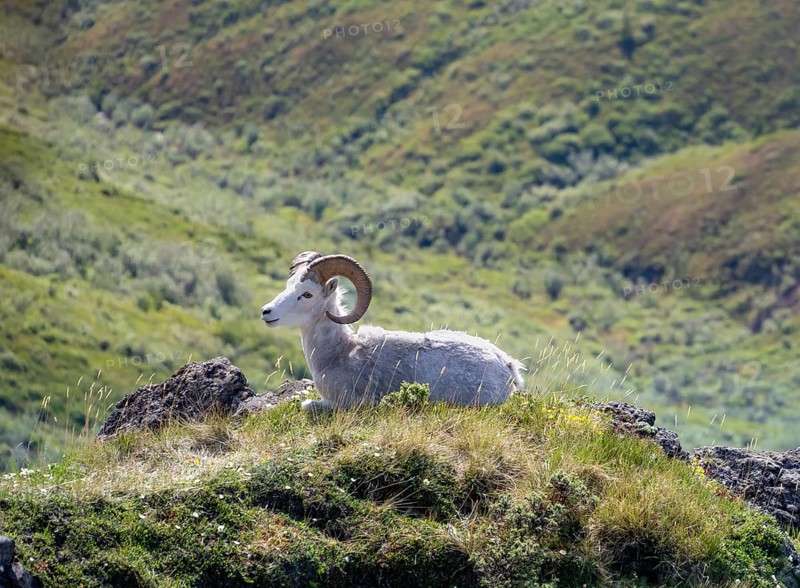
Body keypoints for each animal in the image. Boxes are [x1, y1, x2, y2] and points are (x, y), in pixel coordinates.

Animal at [260, 251, 525, 410]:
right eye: (288, 286)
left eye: (307, 294)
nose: (266, 312)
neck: (340, 353)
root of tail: (507, 365)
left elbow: (306, 404)